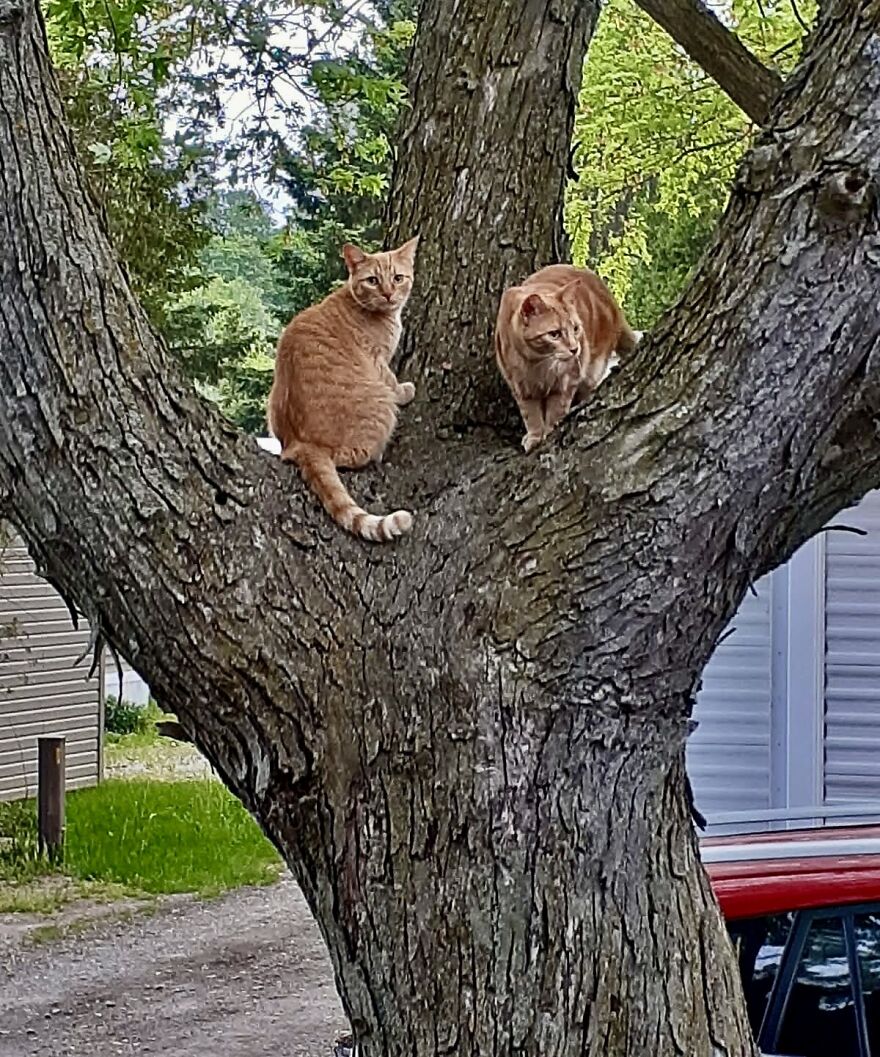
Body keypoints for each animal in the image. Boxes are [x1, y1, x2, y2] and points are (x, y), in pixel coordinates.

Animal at [264, 235, 418, 541]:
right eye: (373, 280)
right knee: (350, 456)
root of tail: (301, 443)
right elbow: (392, 382)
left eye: (398, 278)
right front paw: (405, 390)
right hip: (380, 406)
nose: (388, 294)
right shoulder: (376, 360)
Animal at [494, 263, 638, 450]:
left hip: (591, 370)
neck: (537, 363)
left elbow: (556, 411)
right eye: (554, 334)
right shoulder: (520, 387)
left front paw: (549, 431)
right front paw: (535, 435)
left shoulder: (567, 381)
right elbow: (530, 414)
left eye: (575, 329)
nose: (575, 349)